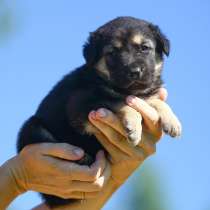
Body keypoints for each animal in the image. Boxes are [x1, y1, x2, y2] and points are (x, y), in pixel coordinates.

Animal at [16, 16, 180, 207]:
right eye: (113, 53)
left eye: (144, 48)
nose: (134, 72)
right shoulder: (80, 105)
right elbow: (119, 101)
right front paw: (133, 126)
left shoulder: (145, 95)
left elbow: (154, 101)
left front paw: (173, 121)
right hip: (32, 127)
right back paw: (82, 158)